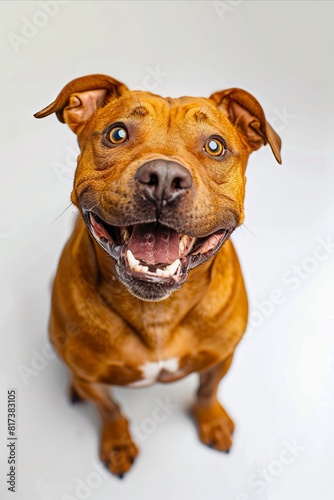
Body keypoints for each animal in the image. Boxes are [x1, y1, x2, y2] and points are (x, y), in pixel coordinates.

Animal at [34, 74, 280, 476]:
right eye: (117, 134)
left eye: (215, 146)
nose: (163, 177)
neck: (156, 311)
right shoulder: (92, 379)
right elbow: (109, 409)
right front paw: (118, 442)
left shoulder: (220, 358)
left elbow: (207, 391)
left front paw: (212, 421)